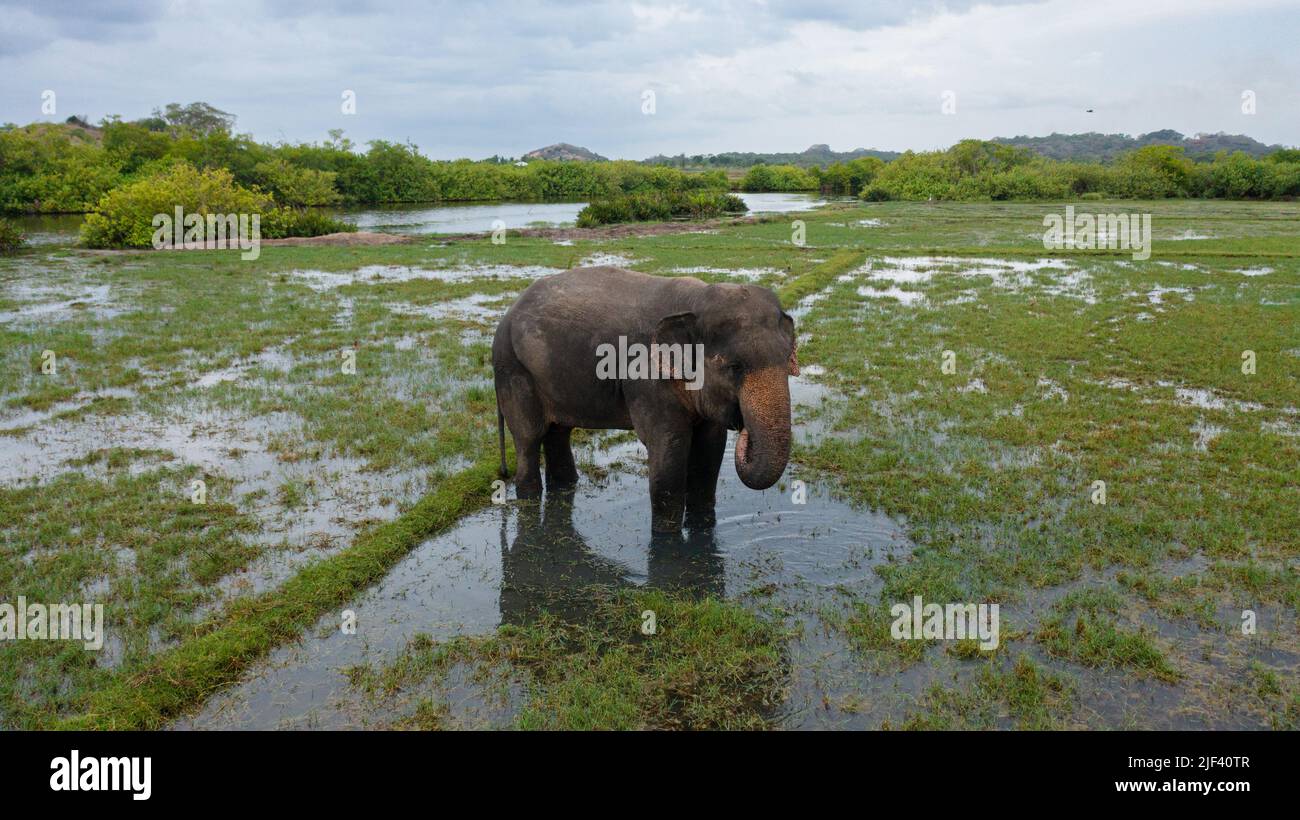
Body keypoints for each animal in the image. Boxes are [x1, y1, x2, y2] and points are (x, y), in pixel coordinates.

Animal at [492, 265, 798, 533]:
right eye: (735, 367)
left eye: (787, 360)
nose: (745, 430)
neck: (695, 300)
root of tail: (505, 317)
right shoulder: (646, 379)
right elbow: (669, 448)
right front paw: (667, 540)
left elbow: (710, 450)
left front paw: (702, 529)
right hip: (513, 369)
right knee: (529, 437)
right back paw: (530, 498)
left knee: (558, 432)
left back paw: (565, 486)